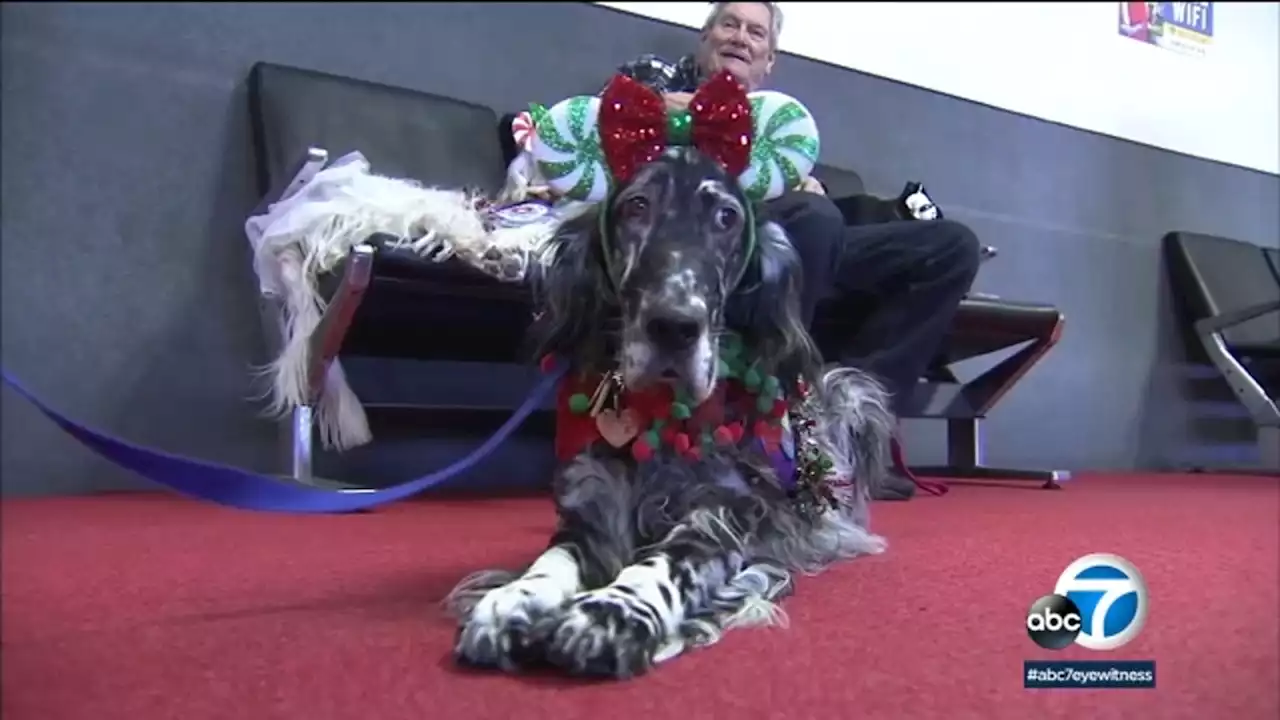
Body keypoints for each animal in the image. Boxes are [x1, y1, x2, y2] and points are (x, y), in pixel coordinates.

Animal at [445, 147, 896, 676]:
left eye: (727, 217)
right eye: (637, 206)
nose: (674, 326)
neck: (657, 420)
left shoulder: (725, 510)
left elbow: (669, 561)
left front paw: (613, 611)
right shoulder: (593, 506)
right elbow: (554, 559)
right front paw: (513, 600)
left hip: (853, 391)